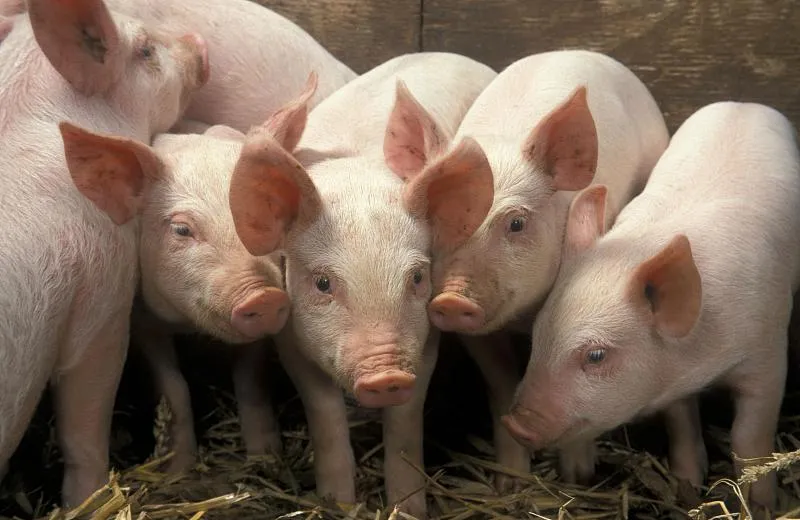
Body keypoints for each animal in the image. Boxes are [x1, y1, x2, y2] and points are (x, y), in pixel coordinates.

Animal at [227, 52, 497, 517]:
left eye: (417, 277)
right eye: (322, 283)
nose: (385, 373)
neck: (357, 179)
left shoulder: (425, 337)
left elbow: (406, 424)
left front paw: (408, 509)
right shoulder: (290, 335)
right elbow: (324, 414)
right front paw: (338, 504)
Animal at [423, 50, 670, 484]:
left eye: (517, 223)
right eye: (437, 218)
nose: (451, 299)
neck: (522, 316)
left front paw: (577, 477)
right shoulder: (478, 334)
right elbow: (501, 385)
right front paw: (509, 481)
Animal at [502, 101, 800, 517]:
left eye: (596, 355)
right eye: (537, 335)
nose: (515, 424)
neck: (702, 357)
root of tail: (744, 103)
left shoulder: (768, 353)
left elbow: (749, 438)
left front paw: (763, 506)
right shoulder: (672, 385)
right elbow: (680, 423)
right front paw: (688, 487)